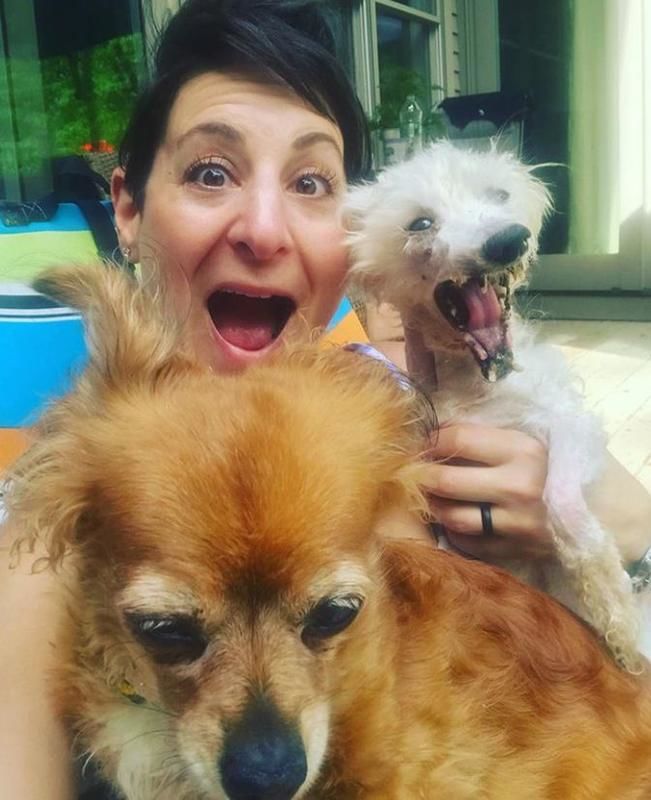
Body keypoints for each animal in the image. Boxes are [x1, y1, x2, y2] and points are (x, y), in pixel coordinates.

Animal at [345, 141, 648, 671]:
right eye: (420, 223)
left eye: (499, 196)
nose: (509, 240)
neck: (471, 385)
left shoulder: (570, 425)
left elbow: (563, 504)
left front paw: (615, 610)